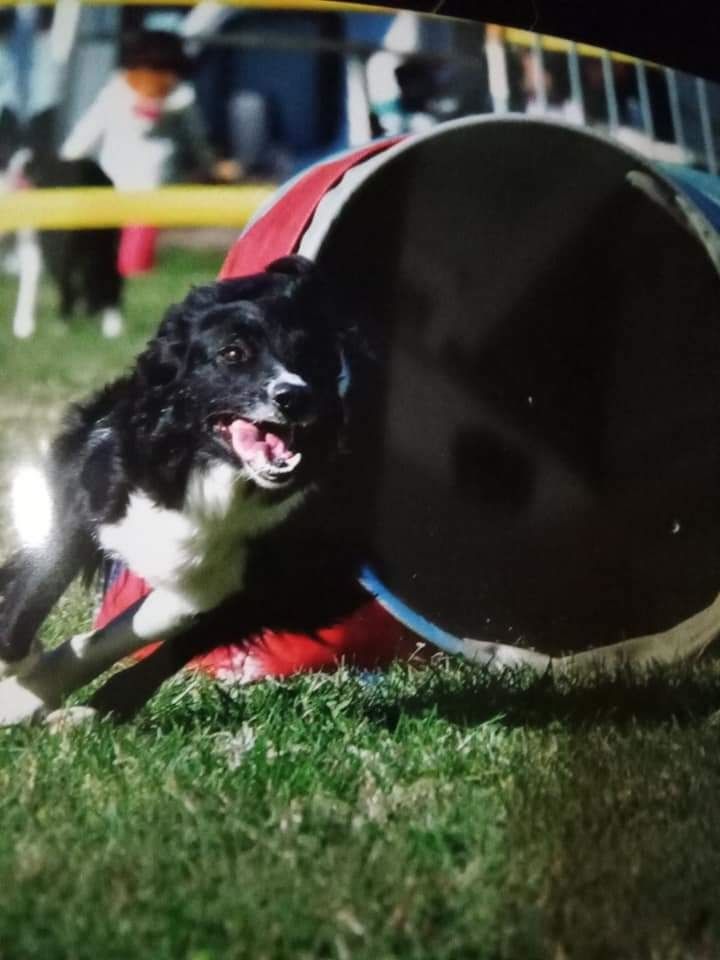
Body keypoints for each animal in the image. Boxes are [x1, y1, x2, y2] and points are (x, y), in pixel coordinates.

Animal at [0, 253, 372, 720]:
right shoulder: (93, 480)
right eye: (232, 354)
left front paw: (93, 707)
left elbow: (178, 640)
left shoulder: (281, 578)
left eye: (308, 355)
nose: (295, 397)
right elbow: (41, 580)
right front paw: (21, 664)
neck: (209, 470)